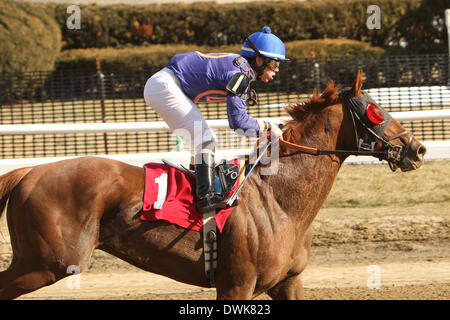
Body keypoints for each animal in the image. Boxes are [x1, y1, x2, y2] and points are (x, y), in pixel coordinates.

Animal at [0, 71, 426, 298]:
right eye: (376, 111)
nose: (417, 148)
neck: (280, 201)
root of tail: (27, 172)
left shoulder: (288, 282)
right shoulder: (236, 285)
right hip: (48, 263)